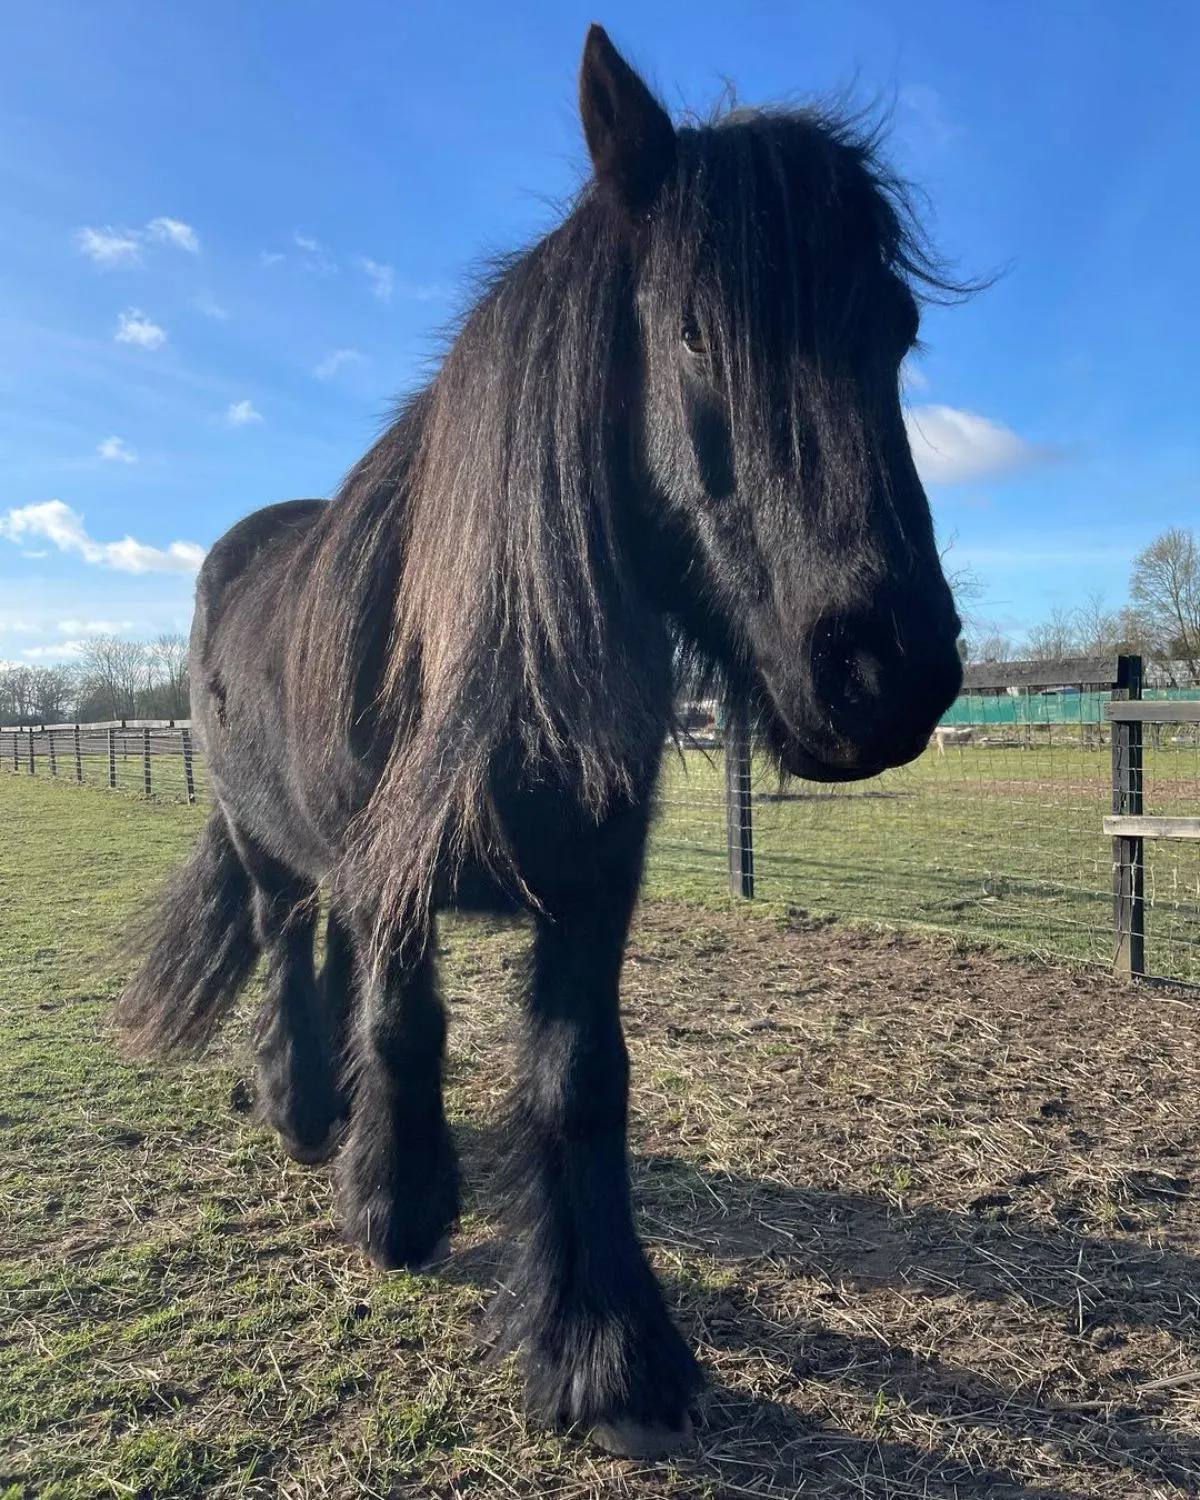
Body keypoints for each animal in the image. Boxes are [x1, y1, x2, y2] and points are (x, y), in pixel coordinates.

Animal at [116, 25, 965, 1457]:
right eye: (693, 331)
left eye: (895, 334)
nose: (887, 671)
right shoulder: (396, 887)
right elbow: (407, 1028)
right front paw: (395, 1212)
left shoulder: (591, 888)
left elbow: (582, 1080)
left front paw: (606, 1353)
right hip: (266, 838)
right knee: (290, 944)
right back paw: (305, 1111)